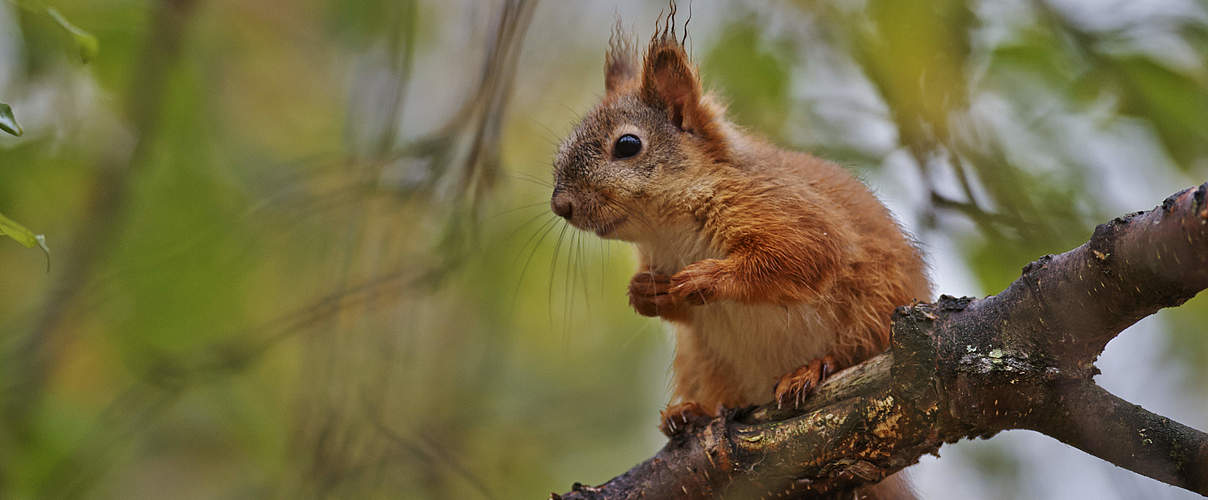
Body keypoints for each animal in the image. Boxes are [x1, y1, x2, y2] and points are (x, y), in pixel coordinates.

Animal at [553, 6, 927, 495]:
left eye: (628, 145)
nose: (560, 205)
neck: (668, 230)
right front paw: (645, 292)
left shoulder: (788, 213)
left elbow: (799, 257)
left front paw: (705, 278)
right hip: (704, 361)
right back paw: (689, 413)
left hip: (871, 315)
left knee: (853, 352)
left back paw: (813, 369)